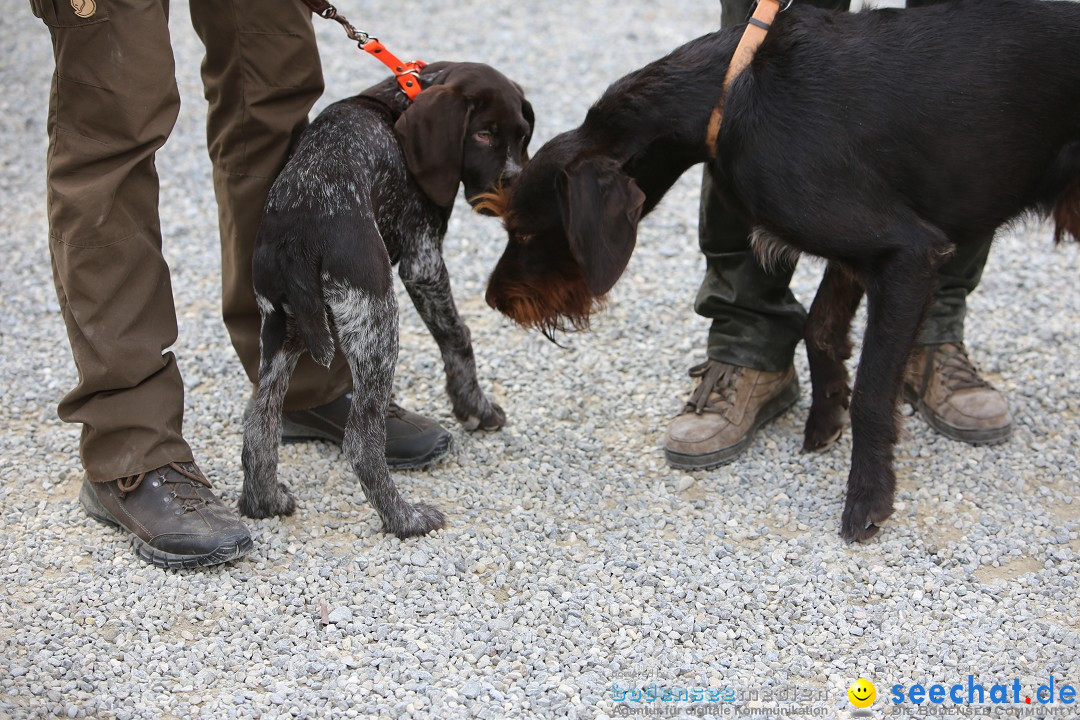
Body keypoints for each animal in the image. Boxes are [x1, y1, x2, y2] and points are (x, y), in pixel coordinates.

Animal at [241, 60, 535, 535]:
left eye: (523, 135)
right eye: (483, 134)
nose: (514, 185)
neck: (405, 97)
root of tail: (297, 236)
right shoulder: (424, 263)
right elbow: (458, 336)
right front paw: (474, 406)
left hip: (283, 328)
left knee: (259, 422)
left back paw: (262, 501)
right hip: (375, 320)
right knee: (361, 441)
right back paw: (405, 518)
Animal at [488, 0, 1080, 539]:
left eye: (526, 232)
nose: (495, 300)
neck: (732, 94)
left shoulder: (908, 256)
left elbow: (873, 392)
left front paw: (868, 497)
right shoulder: (859, 257)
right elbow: (818, 329)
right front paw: (825, 414)